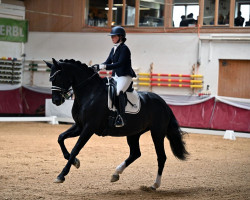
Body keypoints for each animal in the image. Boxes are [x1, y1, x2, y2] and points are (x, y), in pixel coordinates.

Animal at [45, 58, 188, 190]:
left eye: (57, 77)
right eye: (50, 78)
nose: (56, 101)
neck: (90, 93)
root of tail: (163, 103)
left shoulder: (89, 128)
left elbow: (76, 148)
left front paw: (61, 175)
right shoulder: (80, 126)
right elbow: (60, 138)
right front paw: (75, 162)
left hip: (157, 133)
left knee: (161, 157)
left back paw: (154, 184)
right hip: (134, 133)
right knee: (135, 153)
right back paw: (116, 173)